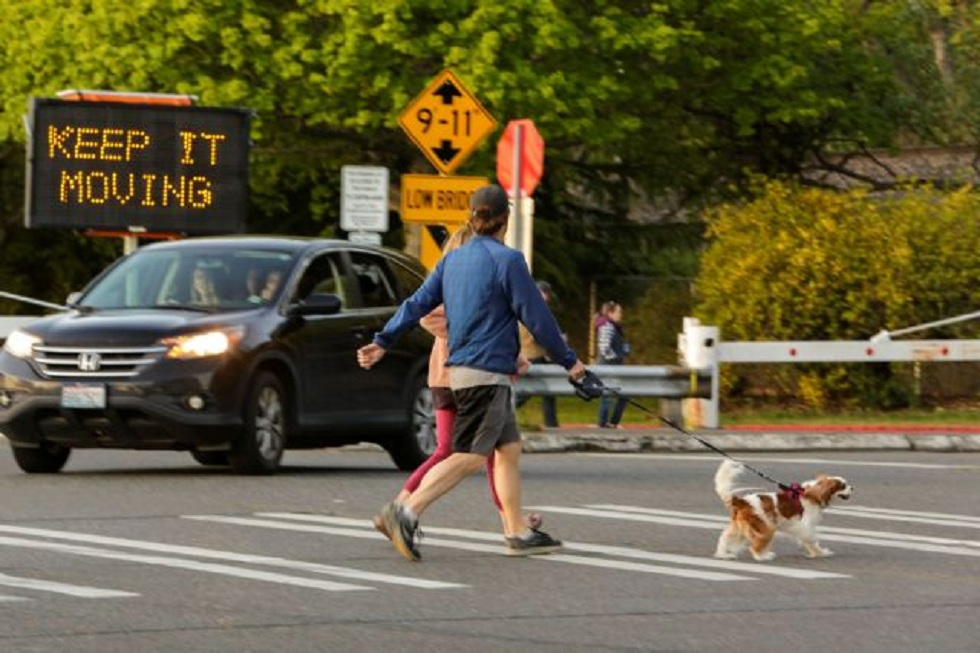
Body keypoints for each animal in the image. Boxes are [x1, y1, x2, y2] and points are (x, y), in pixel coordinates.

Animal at [712, 458, 848, 560]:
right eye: (843, 486)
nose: (852, 487)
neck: (811, 495)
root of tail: (742, 501)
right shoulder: (803, 526)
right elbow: (812, 538)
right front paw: (819, 551)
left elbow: (810, 543)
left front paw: (819, 553)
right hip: (766, 528)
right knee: (754, 547)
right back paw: (763, 556)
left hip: (739, 528)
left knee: (724, 538)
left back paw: (723, 554)